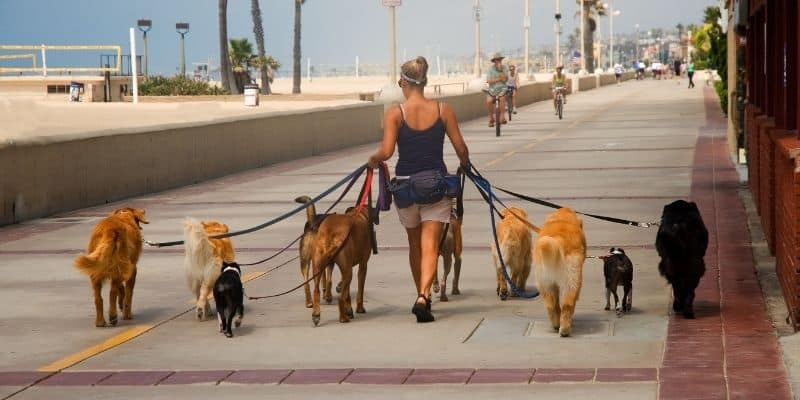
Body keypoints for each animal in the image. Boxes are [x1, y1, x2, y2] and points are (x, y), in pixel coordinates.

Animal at [532, 208, 588, 336]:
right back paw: (565, 329)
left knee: (551, 305)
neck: (562, 218)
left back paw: (556, 324)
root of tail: (558, 239)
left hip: (545, 282)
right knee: (568, 304)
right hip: (572, 280)